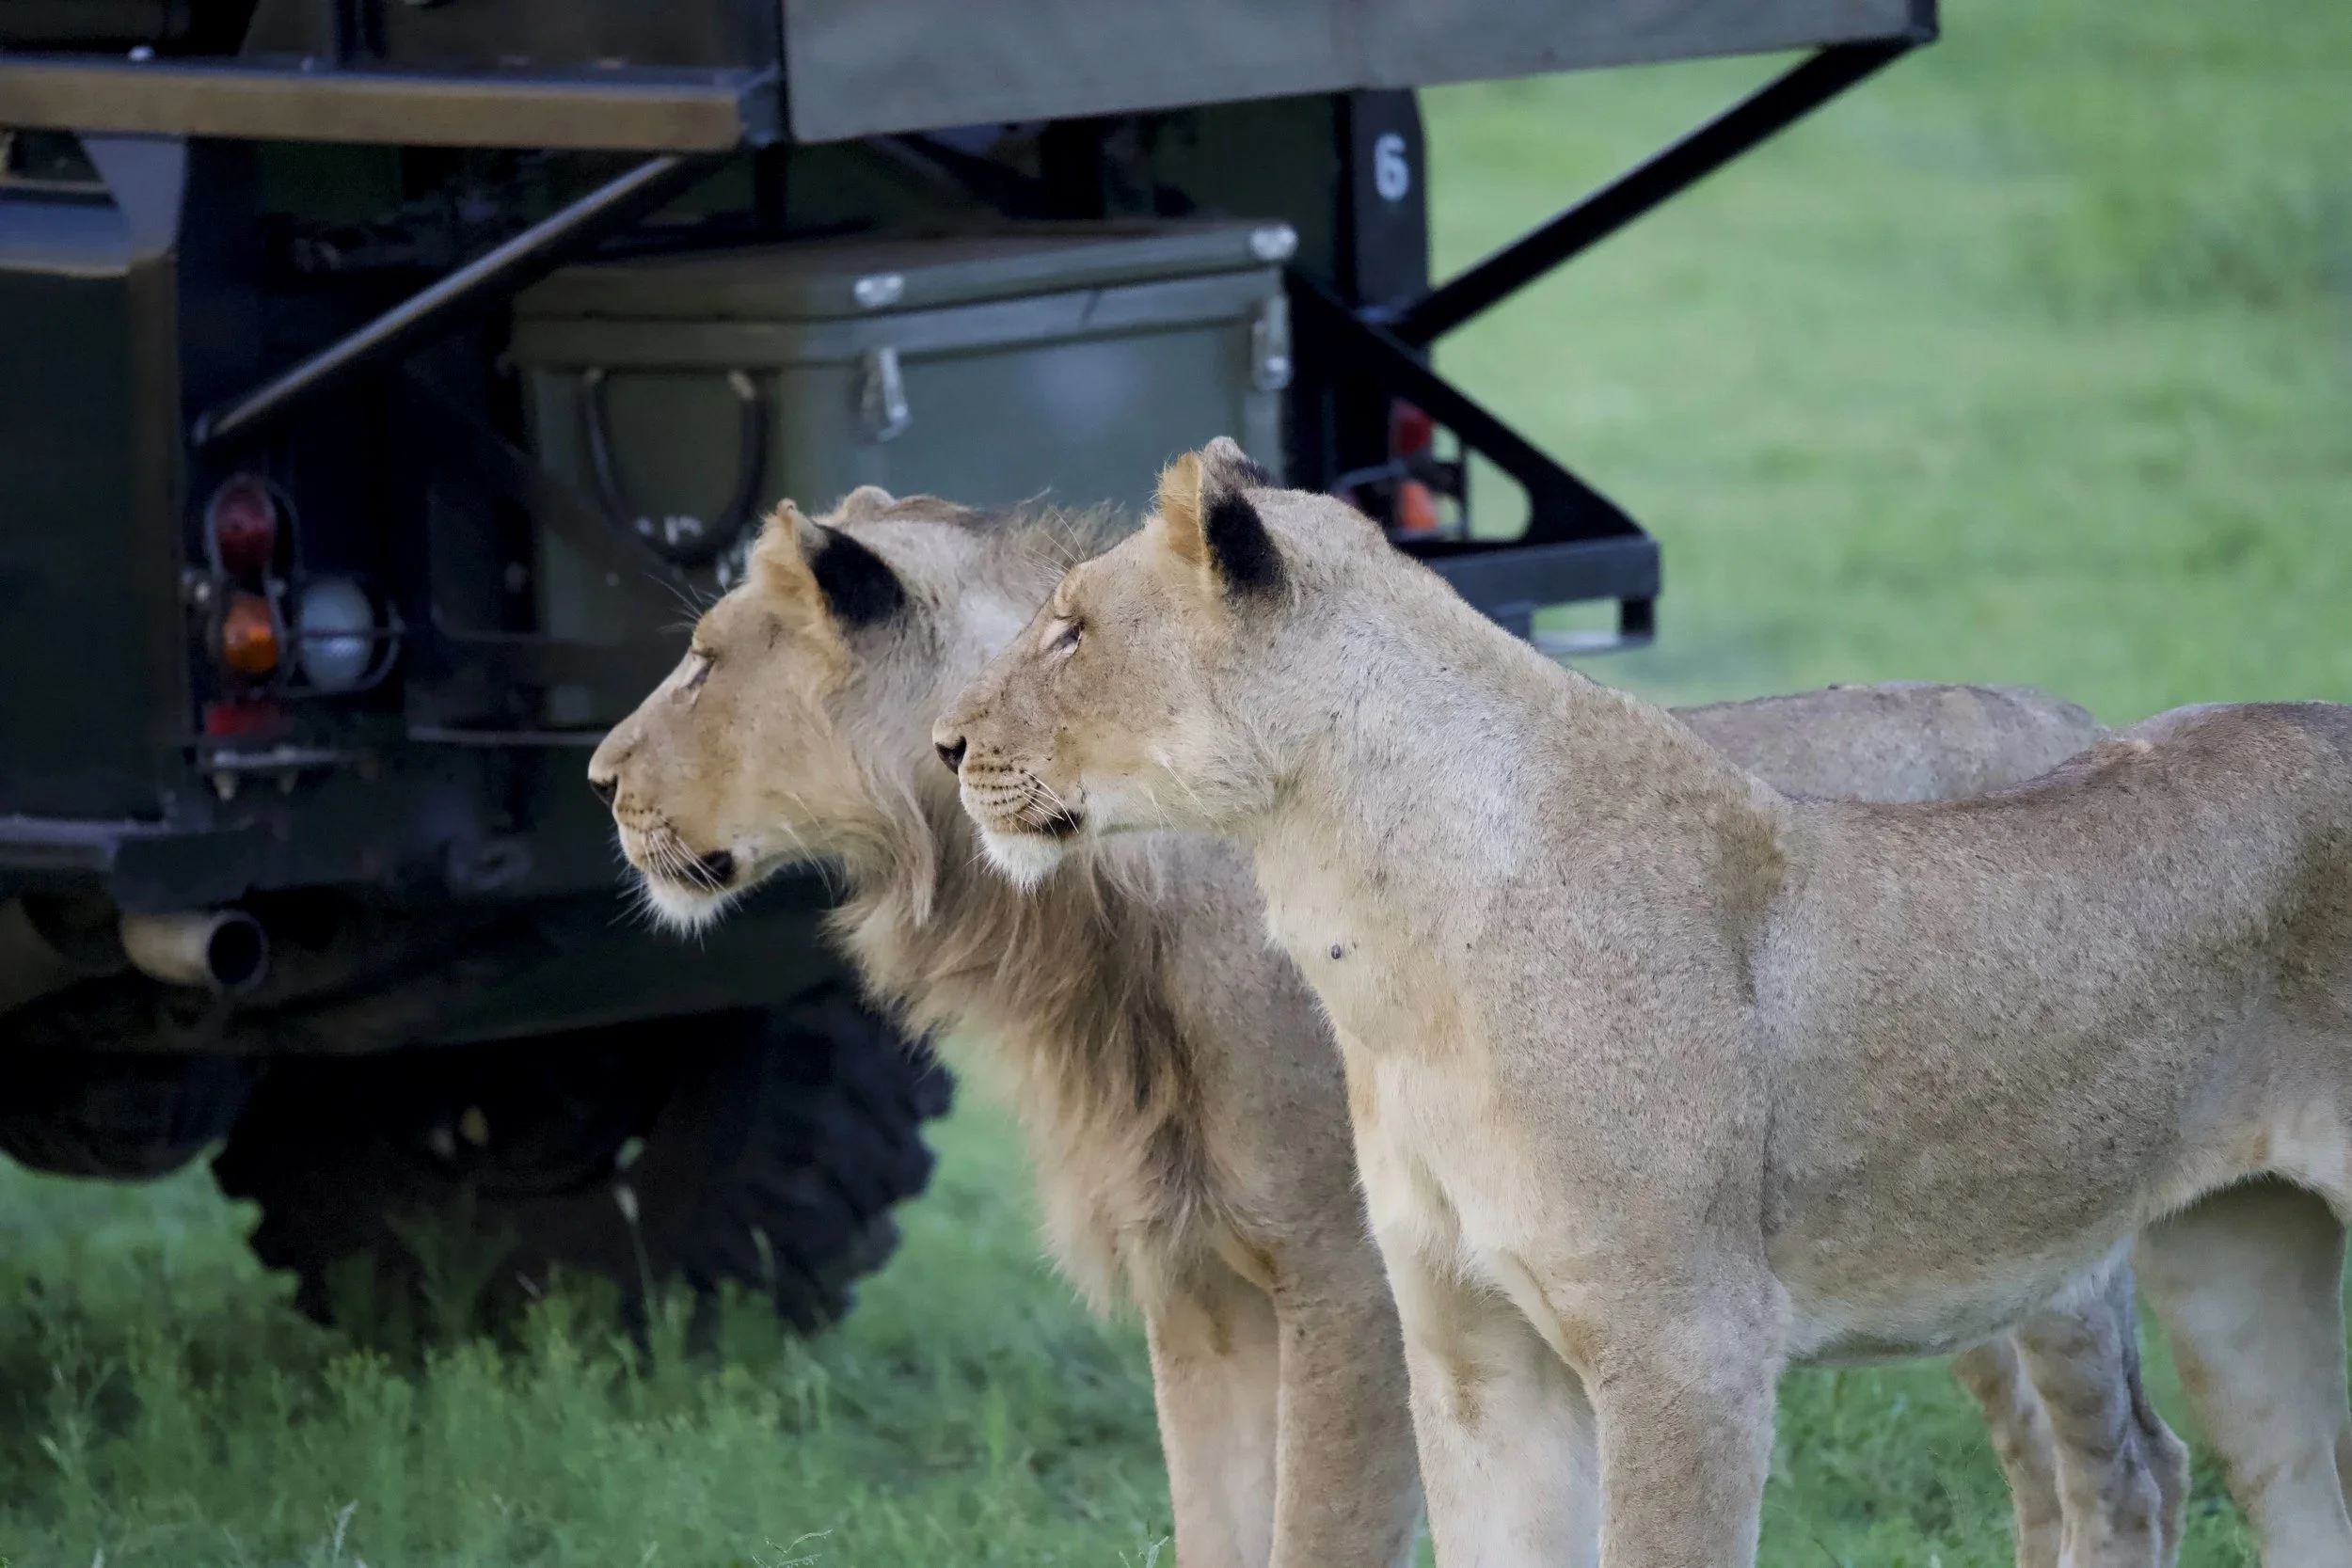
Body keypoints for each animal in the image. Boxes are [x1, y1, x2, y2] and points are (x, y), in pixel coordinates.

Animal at [590, 486, 2198, 1566]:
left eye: (706, 660)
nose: (599, 775)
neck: (1087, 928)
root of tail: (2083, 717)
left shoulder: (1349, 1284)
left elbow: (1321, 1533)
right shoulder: (1201, 1289)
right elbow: (1216, 1531)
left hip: (2056, 1249)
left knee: (2131, 1464)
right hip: (1956, 1262)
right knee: (2048, 1468)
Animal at [934, 438, 2352, 1567]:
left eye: (1069, 629)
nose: (946, 744)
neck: (1381, 945)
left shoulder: (1689, 1347)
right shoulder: (1471, 1348)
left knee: (2123, 1475)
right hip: (2233, 1266)